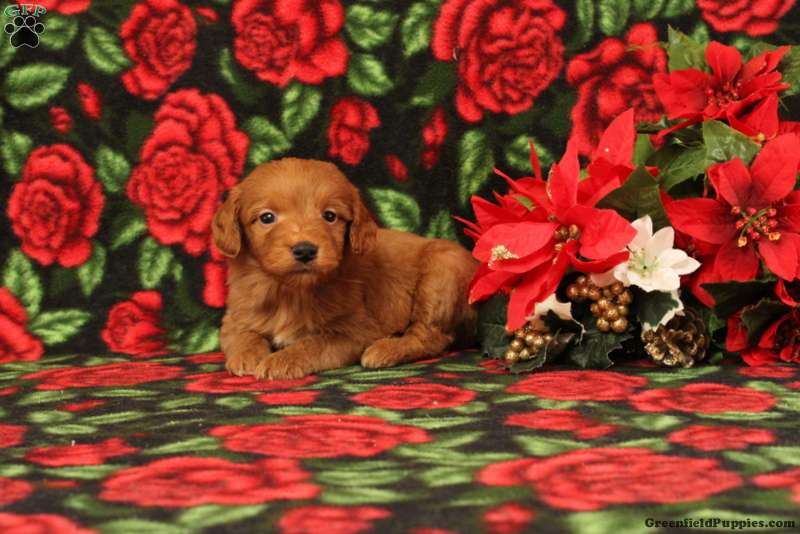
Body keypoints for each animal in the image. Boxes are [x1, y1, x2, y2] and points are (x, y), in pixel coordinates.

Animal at [212, 158, 478, 380]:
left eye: (330, 216)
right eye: (267, 218)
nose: (305, 250)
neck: (291, 291)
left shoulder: (355, 332)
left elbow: (313, 343)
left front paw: (282, 360)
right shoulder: (235, 317)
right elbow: (242, 335)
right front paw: (247, 356)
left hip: (442, 272)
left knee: (431, 336)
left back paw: (385, 349)